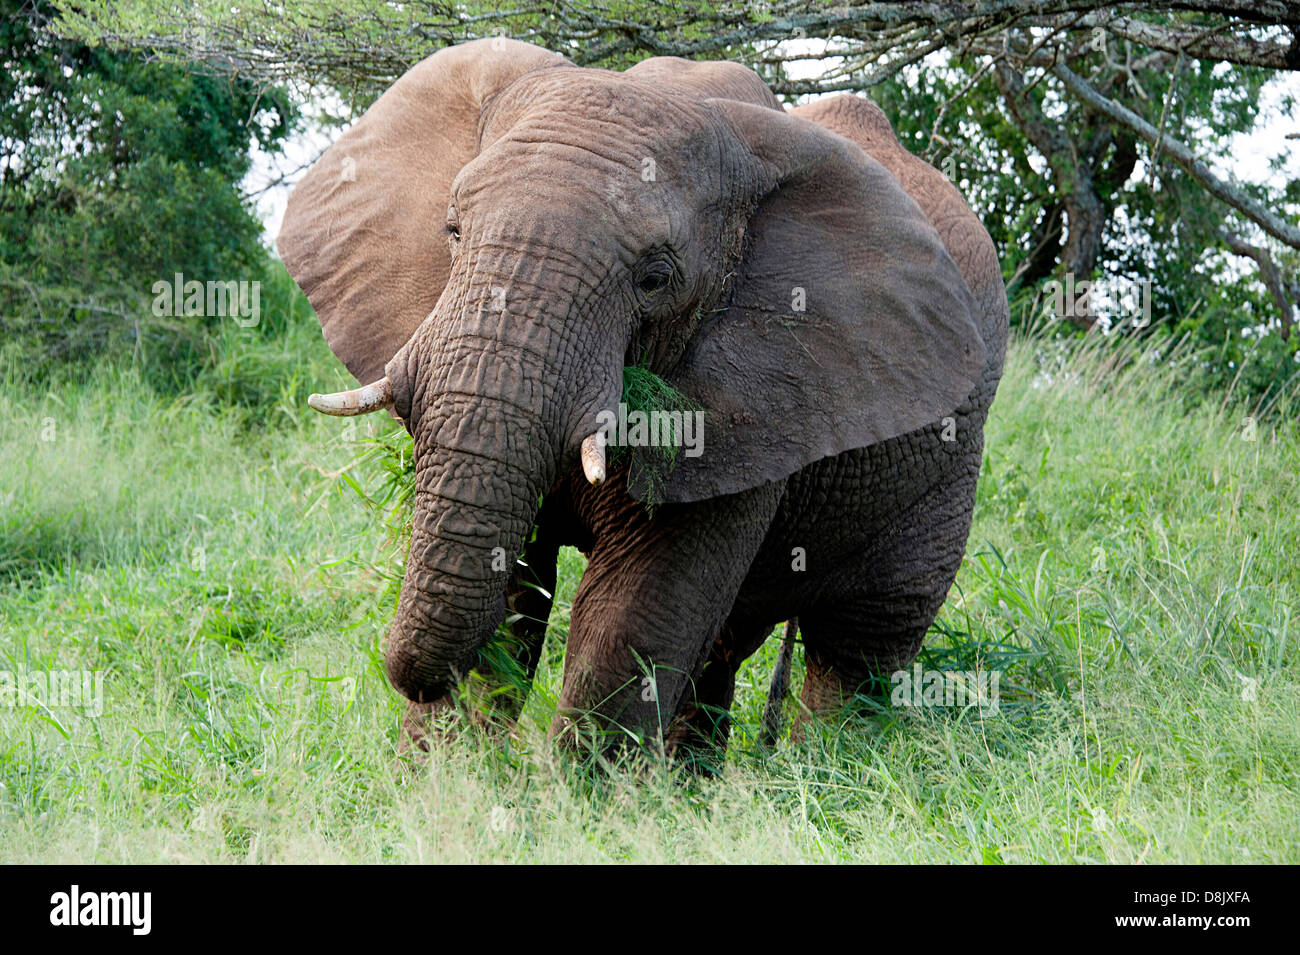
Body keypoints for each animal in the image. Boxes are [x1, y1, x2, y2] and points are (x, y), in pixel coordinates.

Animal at [278, 38, 1009, 760]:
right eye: (453, 231)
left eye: (655, 278)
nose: (397, 669)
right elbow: (514, 583)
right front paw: (450, 776)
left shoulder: (758, 397)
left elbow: (632, 614)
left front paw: (571, 793)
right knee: (727, 641)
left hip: (947, 466)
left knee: (858, 649)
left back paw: (824, 773)